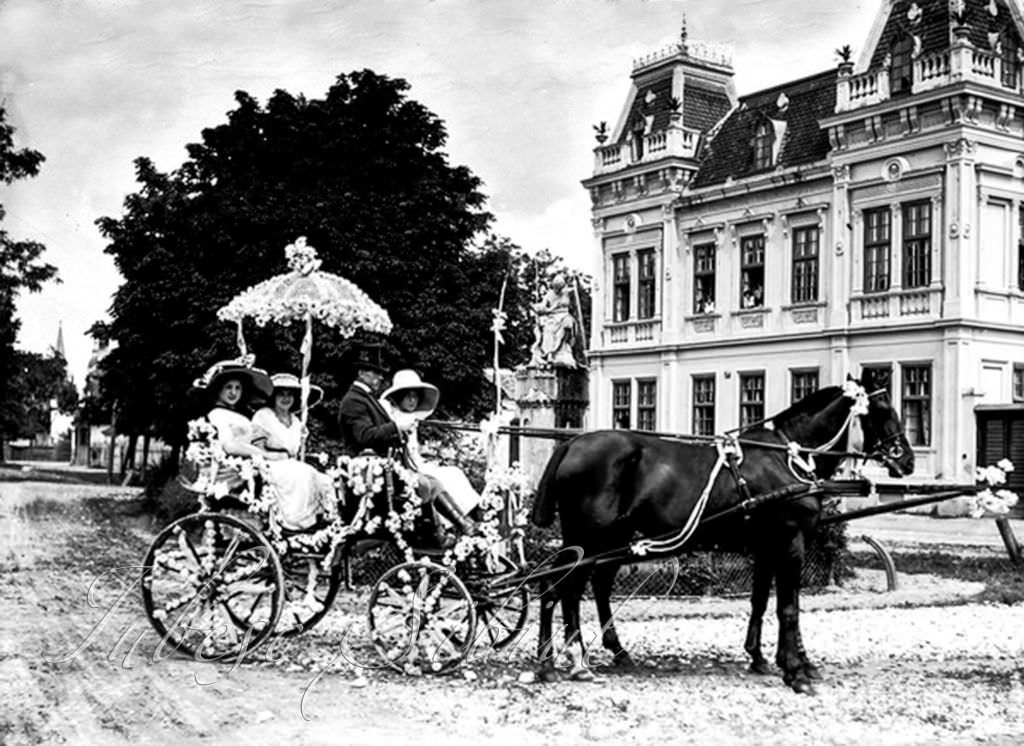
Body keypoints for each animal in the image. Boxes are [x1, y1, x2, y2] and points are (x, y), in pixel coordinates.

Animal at [528, 378, 913, 691]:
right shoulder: (790, 542)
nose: (906, 459)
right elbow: (789, 606)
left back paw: (585, 655)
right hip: (588, 538)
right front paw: (795, 671)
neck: (787, 457)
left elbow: (762, 600)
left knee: (580, 588)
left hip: (609, 540)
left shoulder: (766, 546)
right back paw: (561, 661)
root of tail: (572, 443)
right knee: (559, 588)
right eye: (882, 409)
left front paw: (762, 657)